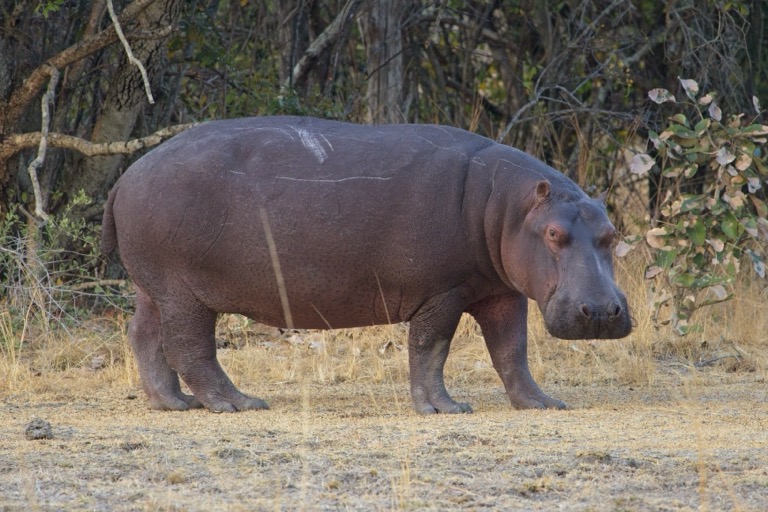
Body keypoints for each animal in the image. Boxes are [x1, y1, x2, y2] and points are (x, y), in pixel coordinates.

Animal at [102, 116, 632, 414]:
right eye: (554, 234)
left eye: (612, 232)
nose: (602, 313)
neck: (506, 206)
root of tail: (126, 176)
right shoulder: (442, 293)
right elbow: (430, 349)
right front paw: (445, 409)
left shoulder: (501, 291)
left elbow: (512, 352)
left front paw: (544, 404)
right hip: (183, 291)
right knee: (191, 348)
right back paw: (238, 404)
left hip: (153, 288)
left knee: (143, 335)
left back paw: (172, 404)